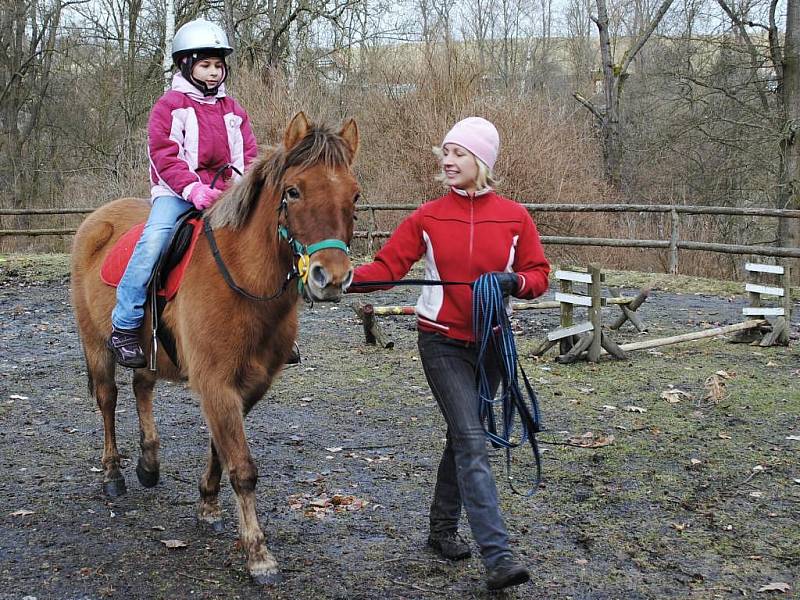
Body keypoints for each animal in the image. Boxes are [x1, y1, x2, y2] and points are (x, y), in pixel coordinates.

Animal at [72, 111, 360, 580]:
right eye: (293, 191)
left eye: (355, 194)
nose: (330, 277)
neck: (243, 280)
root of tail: (97, 218)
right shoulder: (215, 382)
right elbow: (241, 465)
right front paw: (258, 553)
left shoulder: (247, 385)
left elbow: (220, 448)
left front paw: (207, 504)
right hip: (95, 345)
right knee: (108, 399)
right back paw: (113, 475)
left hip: (149, 351)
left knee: (141, 386)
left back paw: (148, 464)